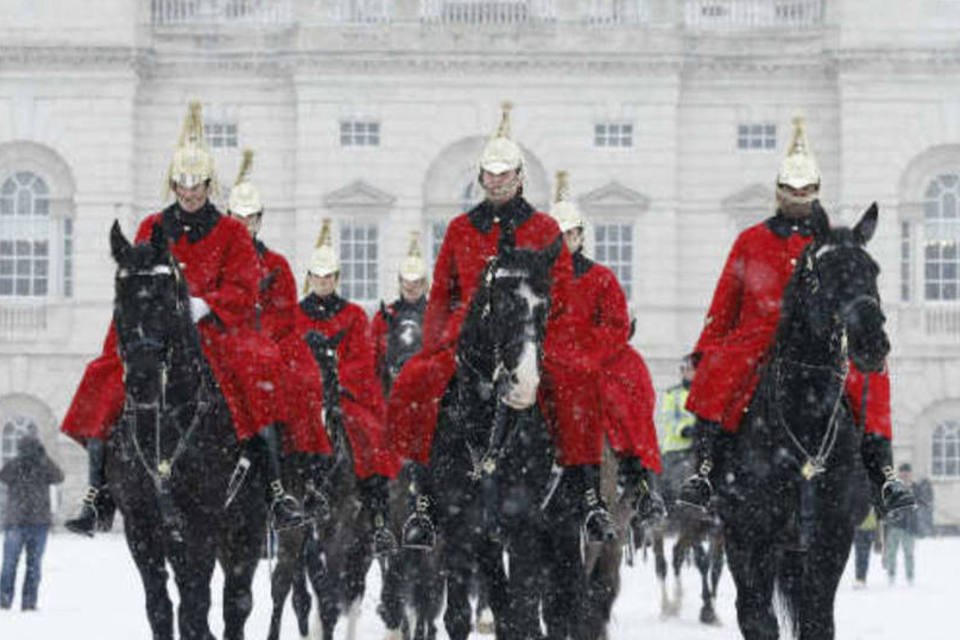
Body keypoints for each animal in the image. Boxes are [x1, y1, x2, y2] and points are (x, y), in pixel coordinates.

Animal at [105, 221, 266, 640]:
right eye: (119, 299)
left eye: (164, 298)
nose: (142, 380)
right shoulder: (142, 527)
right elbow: (161, 609)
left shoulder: (201, 524)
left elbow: (195, 610)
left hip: (245, 529)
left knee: (236, 603)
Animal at [270, 330, 378, 640]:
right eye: (294, 375)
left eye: (332, 373)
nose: (321, 444)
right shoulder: (294, 529)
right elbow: (282, 585)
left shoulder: (340, 528)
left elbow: (332, 598)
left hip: (362, 541)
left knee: (353, 590)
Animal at [426, 238, 568, 640]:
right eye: (503, 303)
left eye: (546, 306)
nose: (524, 384)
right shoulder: (463, 533)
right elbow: (461, 617)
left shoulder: (524, 531)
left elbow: (523, 617)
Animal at [716, 202, 888, 636]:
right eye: (825, 272)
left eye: (873, 269)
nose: (873, 344)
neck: (805, 418)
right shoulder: (753, 538)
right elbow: (759, 620)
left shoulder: (831, 541)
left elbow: (817, 621)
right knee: (749, 609)